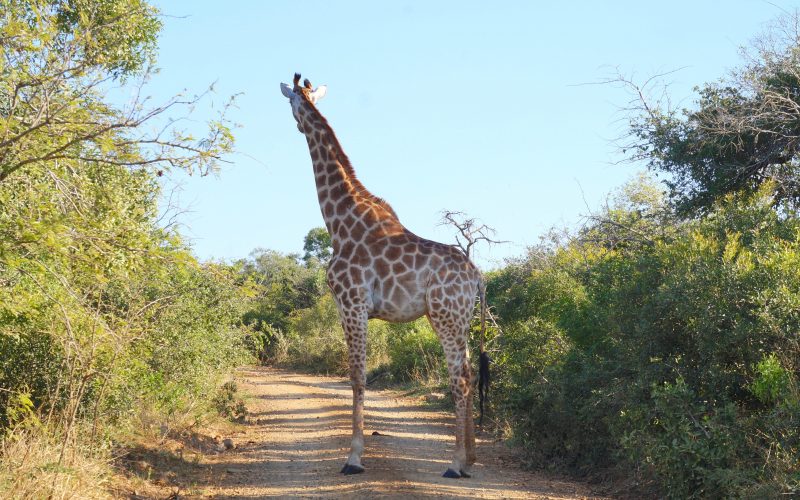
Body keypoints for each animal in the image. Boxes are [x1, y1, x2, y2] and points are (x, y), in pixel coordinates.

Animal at [282, 72, 488, 478]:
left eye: (292, 103)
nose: (296, 124)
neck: (339, 221)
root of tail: (477, 277)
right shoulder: (350, 307)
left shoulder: (352, 304)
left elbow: (357, 376)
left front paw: (353, 458)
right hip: (457, 318)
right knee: (470, 373)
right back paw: (470, 458)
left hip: (446, 317)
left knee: (459, 378)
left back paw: (455, 464)